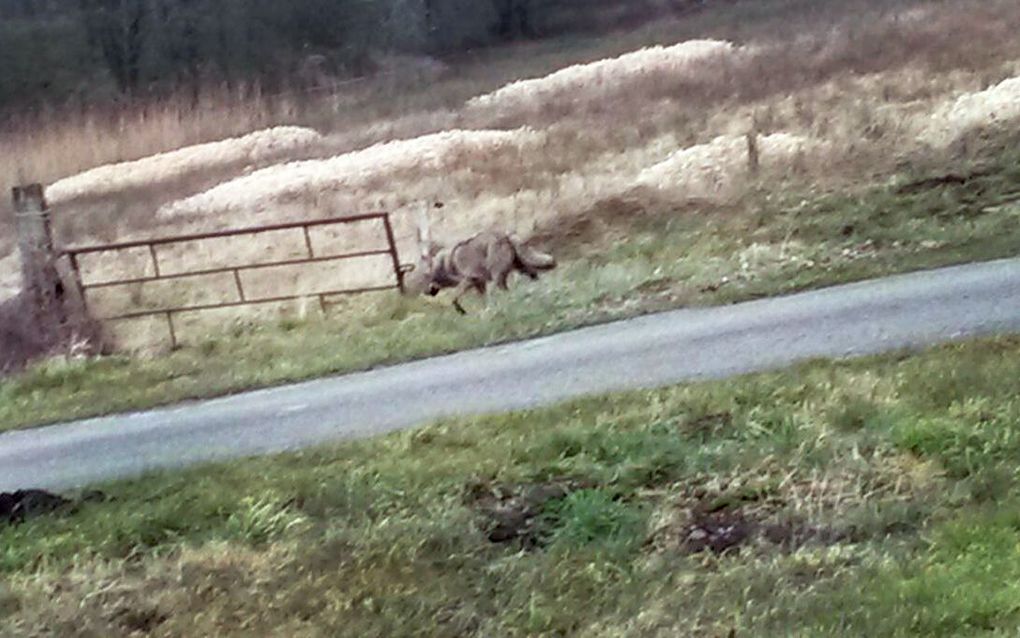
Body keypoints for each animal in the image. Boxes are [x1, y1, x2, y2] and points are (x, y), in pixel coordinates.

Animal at [405, 209, 554, 314]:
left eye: (425, 278)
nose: (424, 292)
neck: (446, 264)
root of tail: (504, 234)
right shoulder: (479, 284)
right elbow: (480, 300)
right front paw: (485, 311)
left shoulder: (470, 280)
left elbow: (453, 298)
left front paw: (463, 311)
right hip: (521, 268)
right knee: (534, 277)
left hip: (497, 277)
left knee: (503, 291)